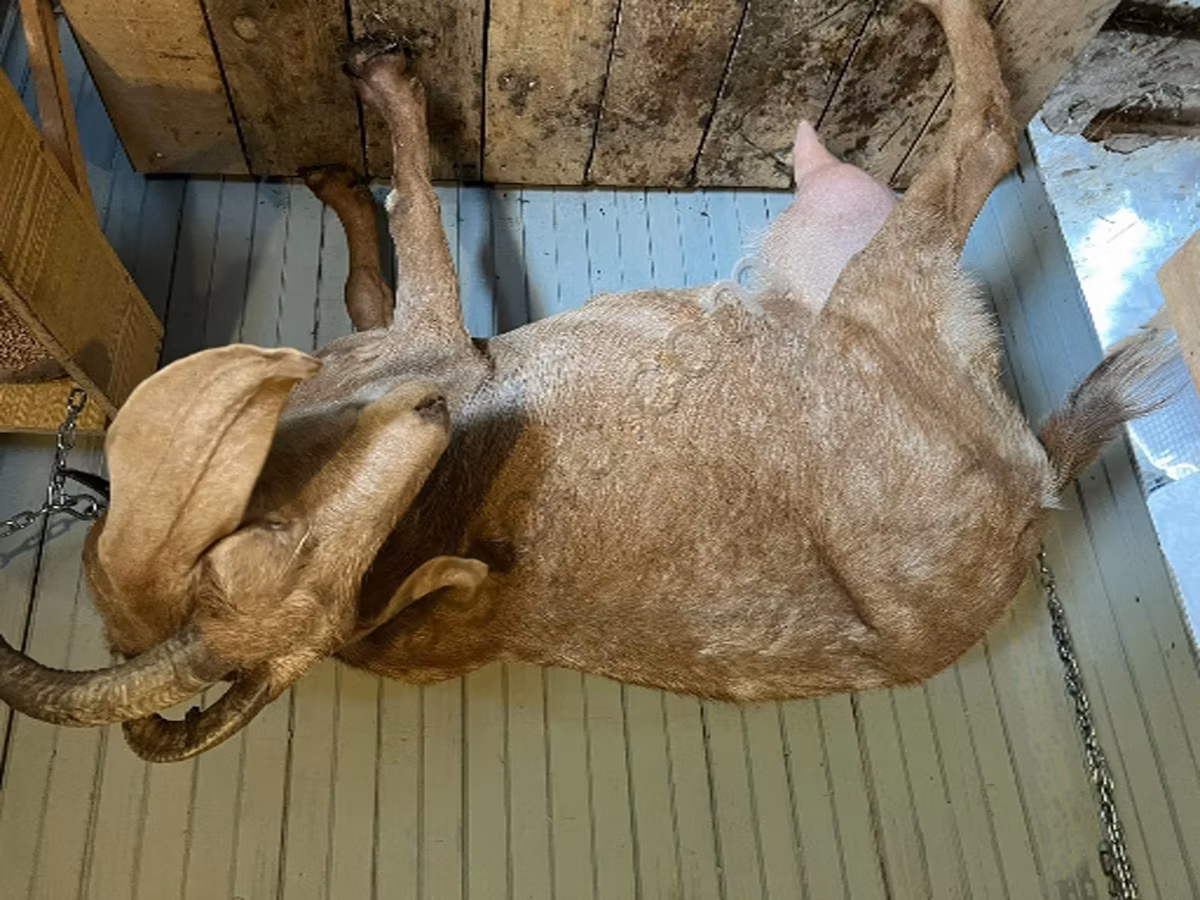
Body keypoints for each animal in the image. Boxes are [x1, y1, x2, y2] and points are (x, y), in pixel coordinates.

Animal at [0, 0, 1179, 762]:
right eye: (269, 557)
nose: (438, 414)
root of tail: (1032, 494)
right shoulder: (429, 339)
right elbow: (412, 220)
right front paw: (376, 95)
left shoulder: (424, 337)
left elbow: (396, 236)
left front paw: (341, 158)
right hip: (880, 289)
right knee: (979, 130)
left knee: (982, 126)